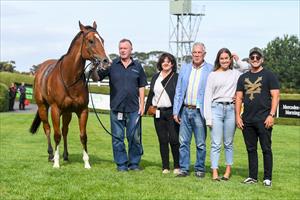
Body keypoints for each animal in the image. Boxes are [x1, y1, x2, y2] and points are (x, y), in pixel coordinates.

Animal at [29, 22, 111, 169]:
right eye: (91, 41)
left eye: (102, 40)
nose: (106, 61)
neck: (70, 78)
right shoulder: (55, 110)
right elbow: (56, 135)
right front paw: (56, 163)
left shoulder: (82, 110)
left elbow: (83, 136)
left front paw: (87, 163)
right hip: (43, 107)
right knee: (47, 129)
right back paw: (50, 155)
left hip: (67, 112)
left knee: (65, 130)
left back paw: (66, 155)